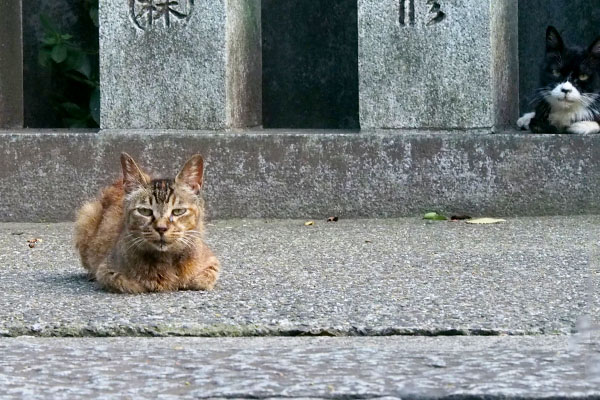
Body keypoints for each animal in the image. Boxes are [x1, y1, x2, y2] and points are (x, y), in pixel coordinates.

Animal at [74, 153, 220, 294]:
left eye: (178, 211)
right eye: (144, 211)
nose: (161, 228)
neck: (165, 260)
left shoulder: (212, 263)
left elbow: (200, 281)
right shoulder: (106, 270)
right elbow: (130, 284)